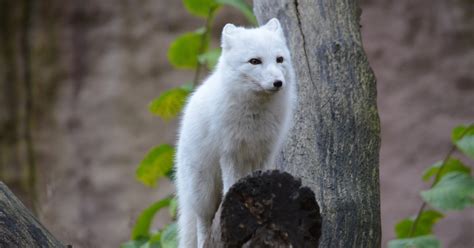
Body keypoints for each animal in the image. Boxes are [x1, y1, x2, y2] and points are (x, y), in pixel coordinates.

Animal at [174, 18, 296, 247]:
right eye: (255, 61)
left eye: (279, 59)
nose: (278, 83)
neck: (255, 115)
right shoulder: (229, 151)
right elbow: (231, 183)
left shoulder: (265, 151)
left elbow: (262, 172)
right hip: (202, 190)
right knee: (202, 222)